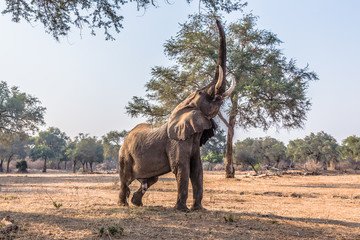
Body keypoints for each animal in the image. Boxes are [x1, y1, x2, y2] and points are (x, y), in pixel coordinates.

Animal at [116, 20, 233, 212]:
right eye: (200, 92)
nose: (215, 19)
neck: (184, 107)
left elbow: (197, 169)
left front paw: (199, 209)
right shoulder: (176, 141)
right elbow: (182, 168)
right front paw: (182, 210)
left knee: (150, 180)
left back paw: (137, 203)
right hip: (124, 155)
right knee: (125, 179)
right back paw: (123, 204)